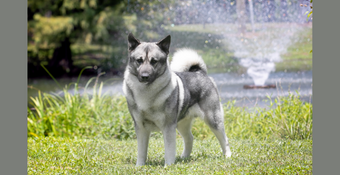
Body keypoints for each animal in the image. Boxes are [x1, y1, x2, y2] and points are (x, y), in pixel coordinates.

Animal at [122, 33, 231, 166]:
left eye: (154, 61)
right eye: (139, 60)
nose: (145, 76)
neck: (147, 92)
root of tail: (200, 73)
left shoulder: (168, 127)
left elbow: (169, 150)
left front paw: (168, 166)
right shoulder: (141, 127)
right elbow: (141, 151)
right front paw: (139, 166)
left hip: (213, 120)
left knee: (224, 139)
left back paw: (228, 155)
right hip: (181, 124)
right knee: (189, 138)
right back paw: (184, 157)